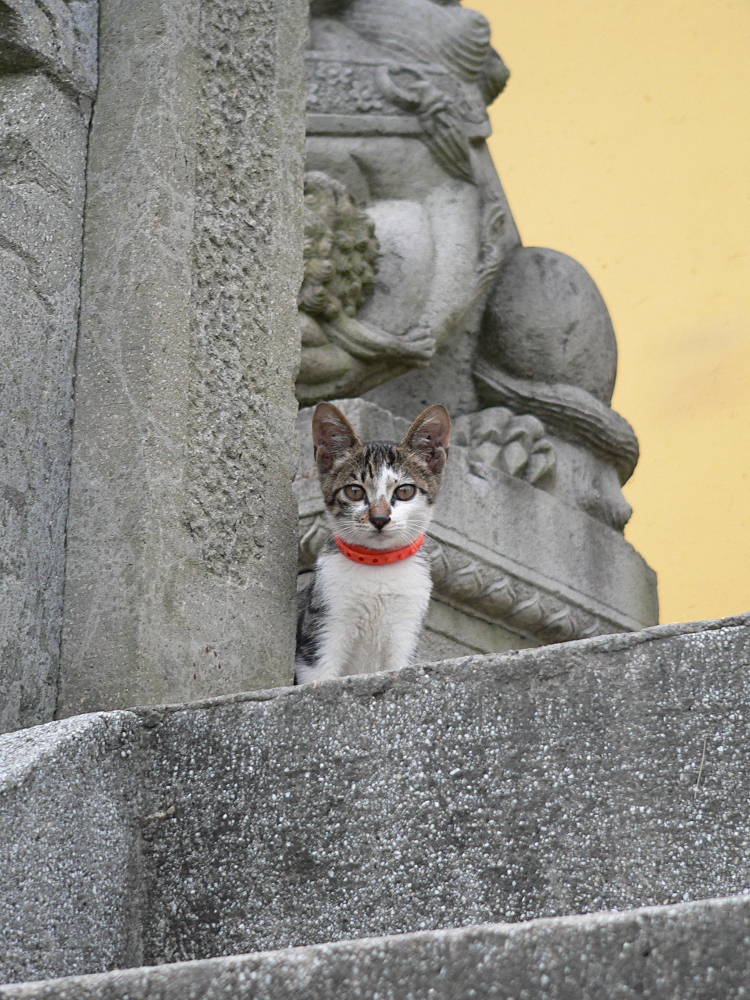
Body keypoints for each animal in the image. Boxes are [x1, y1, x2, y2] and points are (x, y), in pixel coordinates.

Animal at [295, 401, 451, 684]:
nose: (379, 518)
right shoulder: (323, 624)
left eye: (405, 491)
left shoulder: (406, 628)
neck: (378, 566)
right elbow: (319, 674)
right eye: (354, 491)